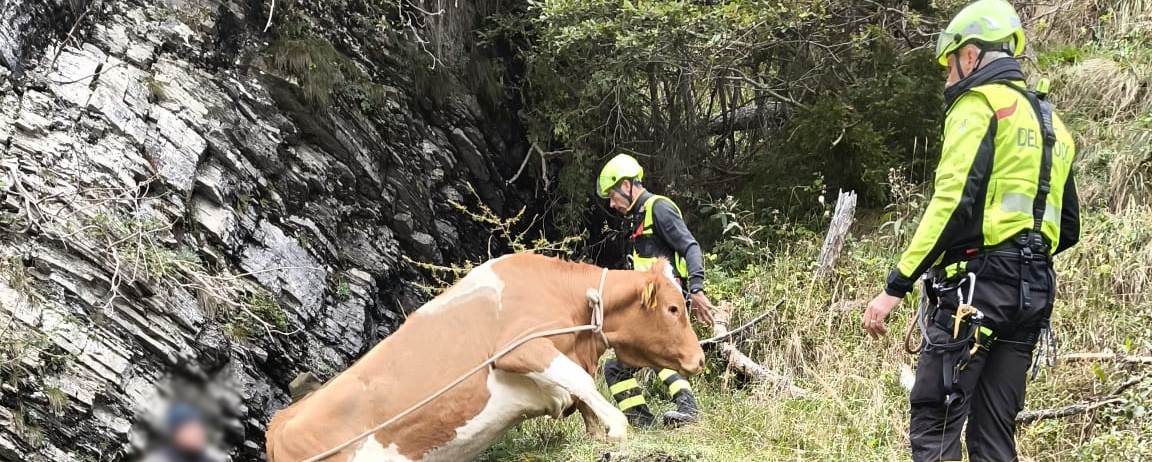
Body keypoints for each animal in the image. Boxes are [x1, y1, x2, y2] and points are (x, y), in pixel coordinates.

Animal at [265, 253, 706, 462]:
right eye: (672, 309)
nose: (700, 358)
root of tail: (280, 422)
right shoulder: (520, 344)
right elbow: (580, 381)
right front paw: (616, 427)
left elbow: (581, 392)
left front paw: (596, 434)